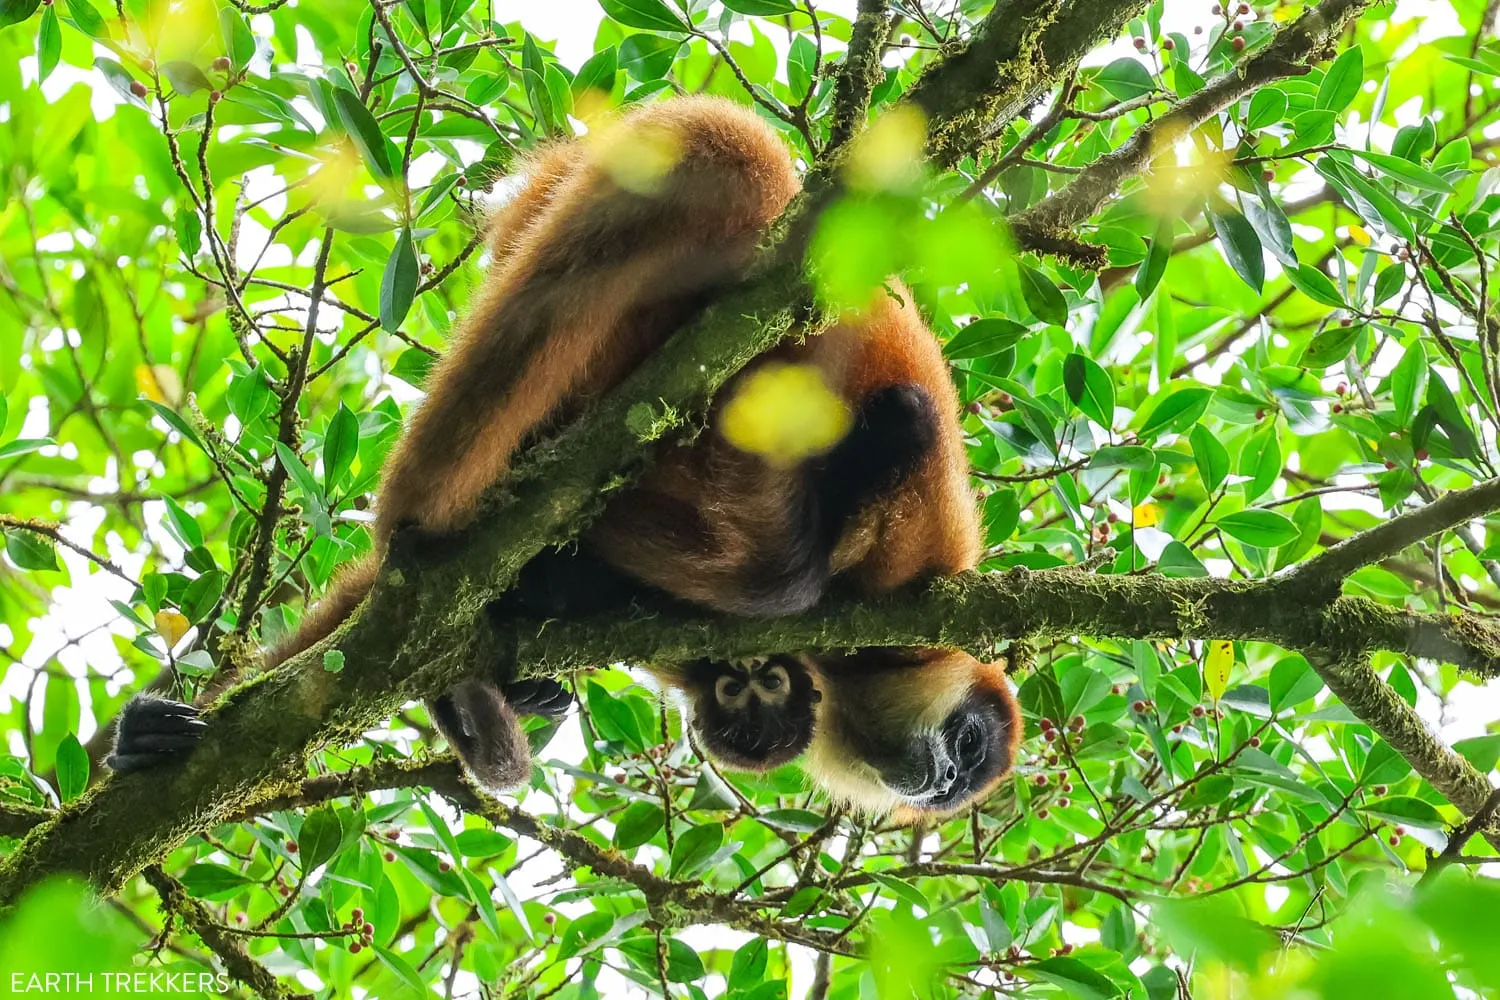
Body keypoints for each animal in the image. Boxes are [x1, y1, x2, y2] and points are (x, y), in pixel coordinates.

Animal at [107, 95, 1020, 816]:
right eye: (969, 745)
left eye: (958, 777)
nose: (940, 782)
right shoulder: (916, 546)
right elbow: (837, 501)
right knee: (734, 150)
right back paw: (415, 528)